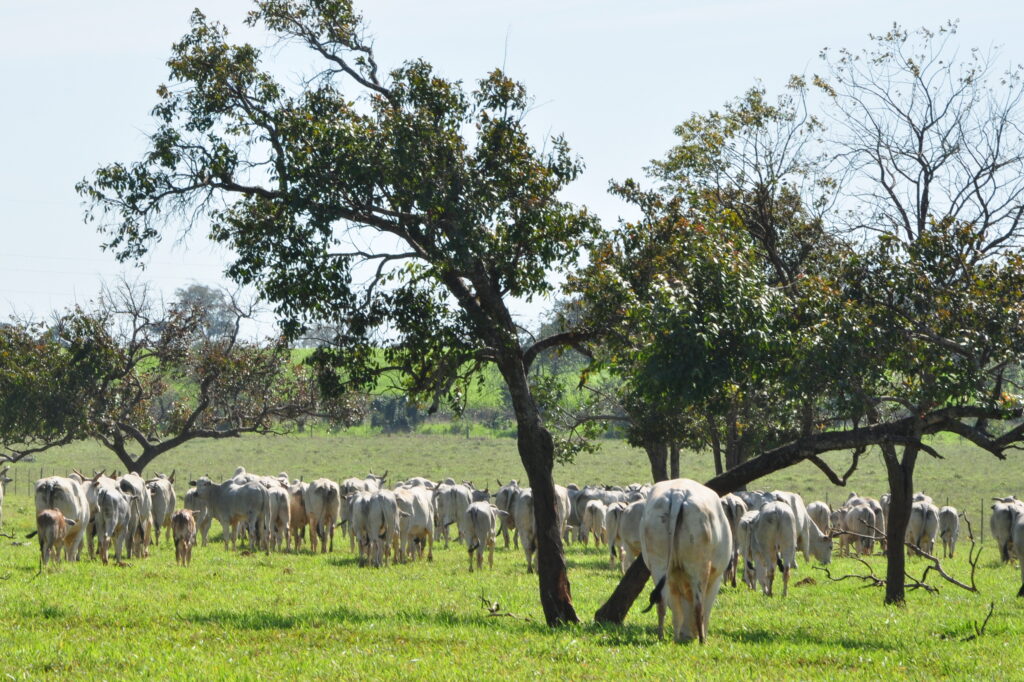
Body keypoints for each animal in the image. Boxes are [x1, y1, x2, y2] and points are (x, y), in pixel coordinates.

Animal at [634, 475, 733, 638]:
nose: (688, 636)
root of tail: (678, 493)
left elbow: (677, 613)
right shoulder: (716, 579)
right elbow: (706, 610)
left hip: (659, 564)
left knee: (661, 602)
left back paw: (661, 636)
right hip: (699, 566)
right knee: (699, 607)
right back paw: (702, 640)